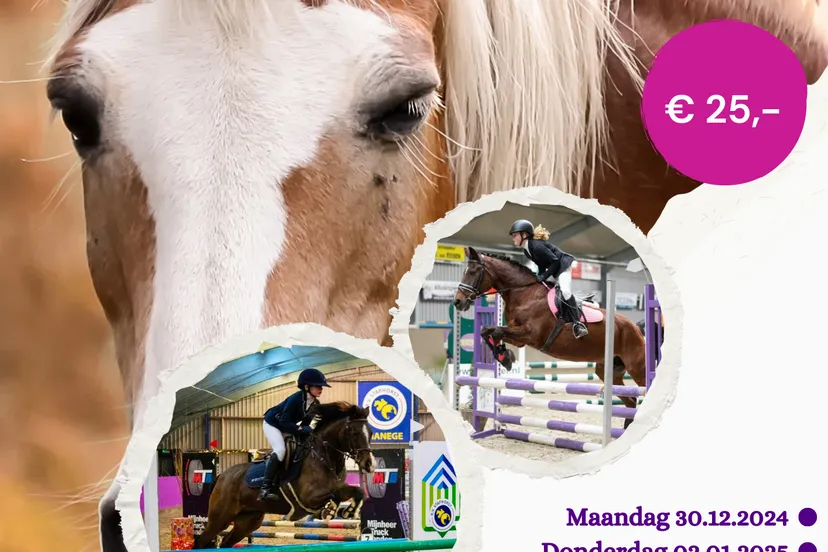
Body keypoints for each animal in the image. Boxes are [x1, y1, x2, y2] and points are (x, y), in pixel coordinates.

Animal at [193, 402, 375, 549]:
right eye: (354, 433)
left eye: (371, 433)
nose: (369, 465)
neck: (324, 456)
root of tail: (221, 476)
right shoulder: (309, 498)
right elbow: (335, 494)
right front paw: (329, 511)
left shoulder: (338, 488)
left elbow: (356, 491)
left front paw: (348, 511)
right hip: (220, 517)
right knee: (201, 541)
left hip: (248, 521)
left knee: (226, 542)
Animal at [453, 248, 646, 427]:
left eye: (472, 272)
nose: (457, 302)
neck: (524, 294)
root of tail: (635, 328)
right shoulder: (519, 338)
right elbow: (487, 331)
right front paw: (504, 357)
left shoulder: (530, 334)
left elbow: (497, 331)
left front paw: (505, 357)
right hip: (609, 371)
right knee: (631, 401)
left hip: (636, 367)